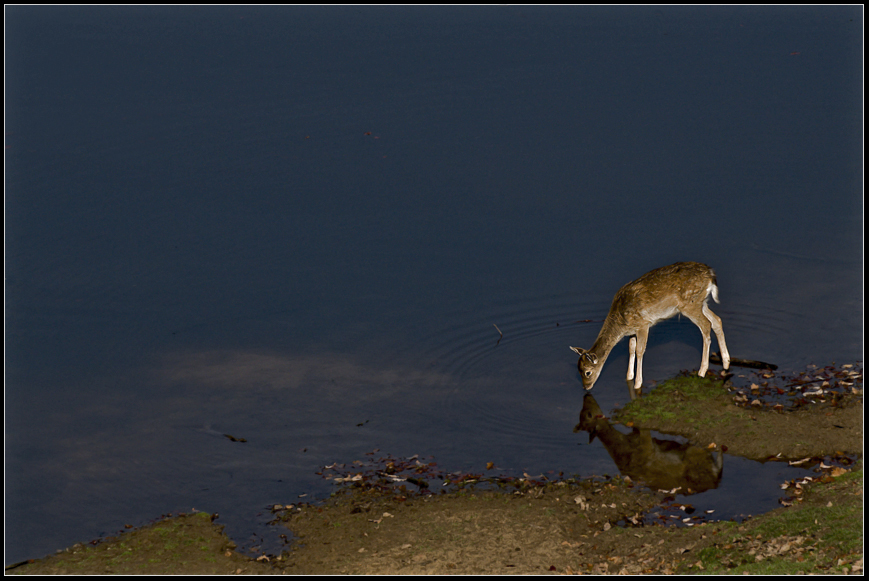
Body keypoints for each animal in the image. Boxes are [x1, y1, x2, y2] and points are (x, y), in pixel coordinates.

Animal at [572, 262, 728, 394]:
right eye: (578, 370)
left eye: (587, 372)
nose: (586, 387)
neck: (620, 324)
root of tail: (711, 274)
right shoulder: (632, 331)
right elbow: (631, 349)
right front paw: (629, 377)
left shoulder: (643, 324)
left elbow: (640, 350)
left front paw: (637, 384)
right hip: (702, 302)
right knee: (717, 320)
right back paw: (726, 363)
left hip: (690, 304)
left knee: (706, 325)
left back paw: (702, 371)